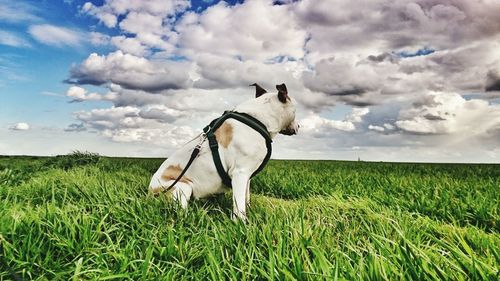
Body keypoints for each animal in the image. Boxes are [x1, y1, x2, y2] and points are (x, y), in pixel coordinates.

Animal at [148, 82, 296, 220]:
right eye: (295, 112)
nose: (299, 126)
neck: (258, 119)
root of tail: (150, 193)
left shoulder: (247, 176)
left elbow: (246, 198)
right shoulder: (240, 174)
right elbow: (239, 207)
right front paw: (241, 224)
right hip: (182, 186)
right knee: (181, 211)